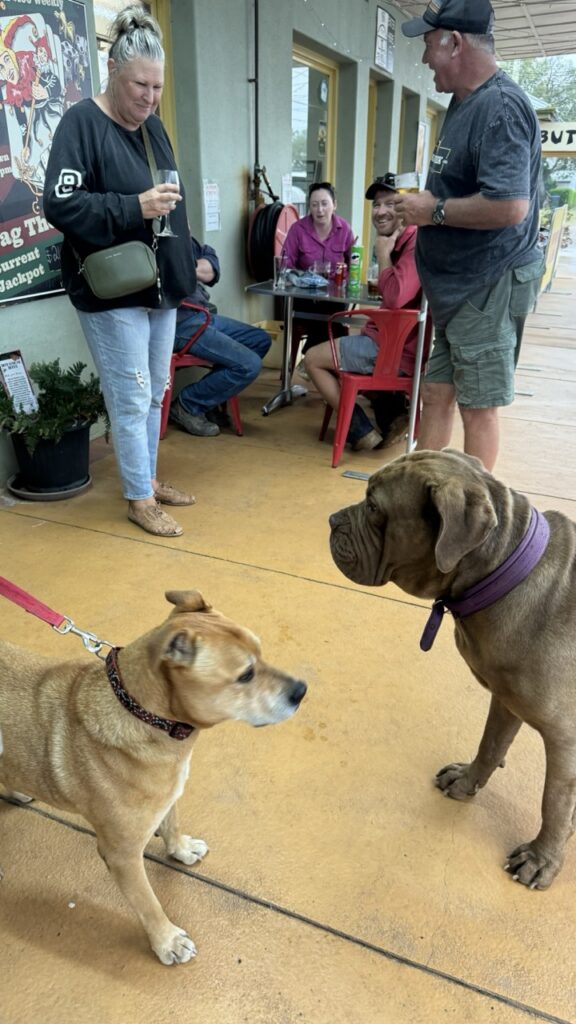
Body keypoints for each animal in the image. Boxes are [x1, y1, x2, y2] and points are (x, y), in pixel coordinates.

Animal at [0, 589, 307, 962]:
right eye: (245, 675)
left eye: (261, 653)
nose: (302, 690)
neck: (146, 715)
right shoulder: (122, 856)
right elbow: (147, 903)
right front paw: (167, 940)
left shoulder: (167, 792)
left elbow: (171, 823)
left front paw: (180, 848)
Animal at [327, 448, 573, 888]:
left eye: (374, 507)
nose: (333, 519)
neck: (504, 570)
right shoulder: (505, 698)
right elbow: (490, 744)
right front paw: (468, 780)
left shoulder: (565, 736)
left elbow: (555, 800)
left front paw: (543, 857)